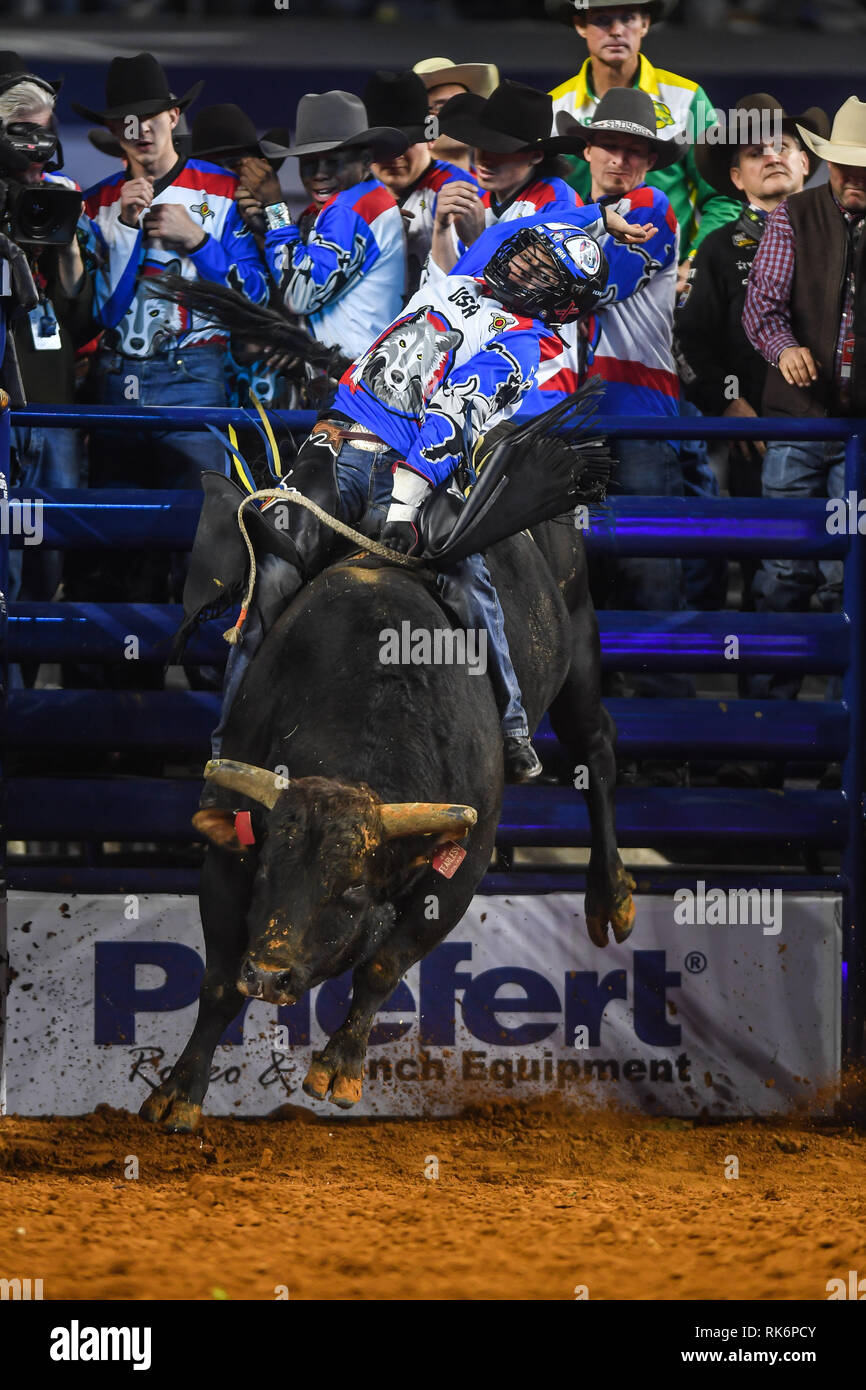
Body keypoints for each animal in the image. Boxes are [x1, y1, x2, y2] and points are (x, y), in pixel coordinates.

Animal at [140, 519, 636, 1128]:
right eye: (267, 872)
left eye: (354, 890)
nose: (269, 975)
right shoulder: (231, 855)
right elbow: (216, 984)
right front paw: (178, 1091)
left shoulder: (462, 868)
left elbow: (383, 965)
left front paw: (339, 1068)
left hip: (582, 640)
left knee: (597, 750)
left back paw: (611, 896)